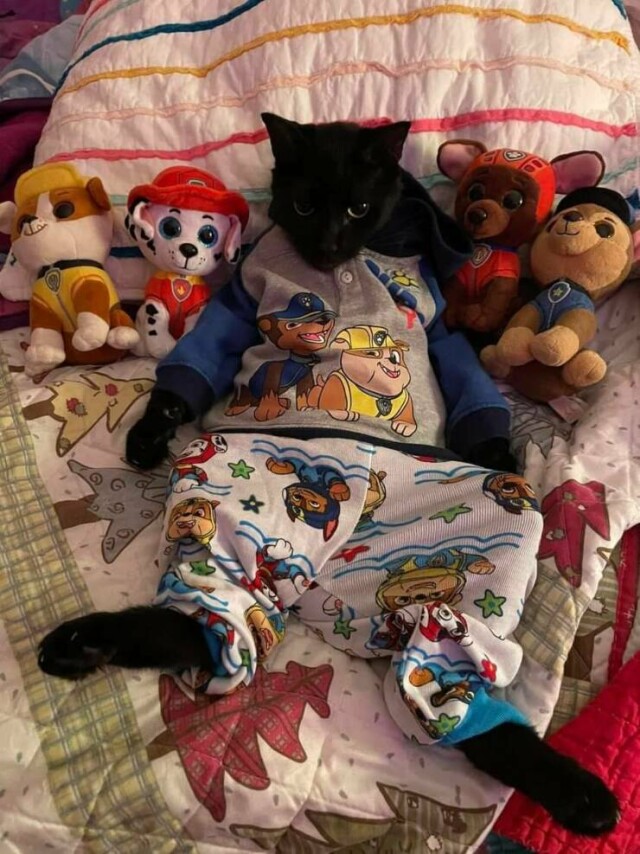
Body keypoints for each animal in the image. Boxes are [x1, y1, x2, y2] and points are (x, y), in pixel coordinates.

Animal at [38, 115, 619, 837]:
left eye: (360, 209)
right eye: (307, 206)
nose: (330, 244)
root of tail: (320, 590)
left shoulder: (443, 328)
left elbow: (464, 372)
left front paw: (500, 448)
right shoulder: (239, 300)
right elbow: (198, 359)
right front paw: (149, 431)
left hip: (489, 532)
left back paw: (579, 795)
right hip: (233, 507)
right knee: (216, 622)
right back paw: (80, 645)